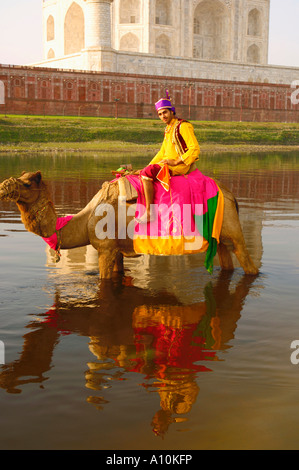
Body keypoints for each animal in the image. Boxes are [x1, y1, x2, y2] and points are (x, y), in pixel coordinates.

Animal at [0, 170, 260, 278]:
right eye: (21, 177)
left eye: (27, 183)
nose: (3, 187)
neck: (87, 218)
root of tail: (231, 196)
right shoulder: (116, 249)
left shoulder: (105, 248)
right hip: (219, 234)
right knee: (226, 259)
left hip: (232, 227)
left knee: (247, 260)